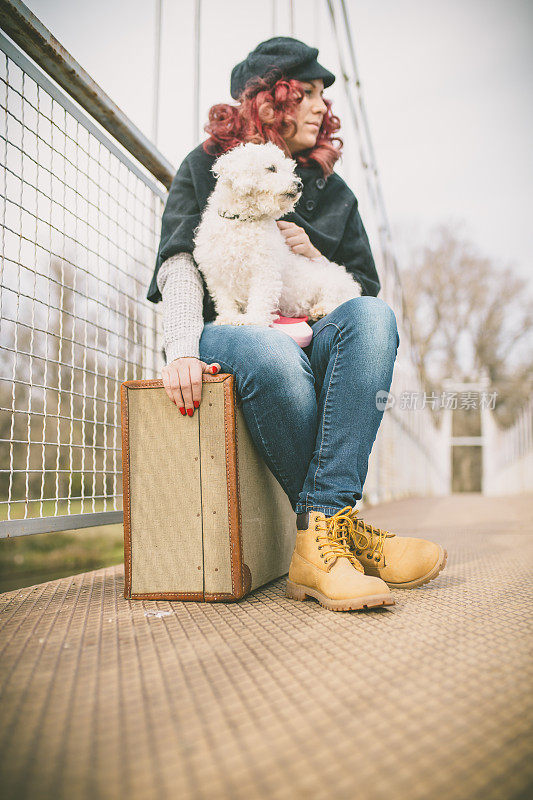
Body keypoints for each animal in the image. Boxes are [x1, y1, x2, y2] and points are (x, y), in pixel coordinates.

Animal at [191, 141, 362, 324]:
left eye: (290, 169)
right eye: (272, 168)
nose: (299, 185)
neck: (242, 221)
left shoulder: (265, 270)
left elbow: (260, 298)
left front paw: (253, 319)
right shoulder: (217, 275)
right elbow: (225, 301)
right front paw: (229, 318)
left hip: (335, 284)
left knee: (338, 299)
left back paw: (322, 309)